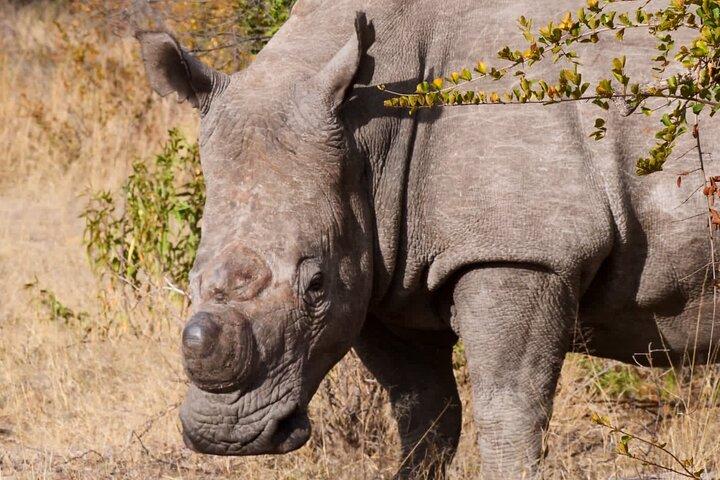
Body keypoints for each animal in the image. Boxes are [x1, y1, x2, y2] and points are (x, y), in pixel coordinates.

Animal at [135, 0, 720, 478]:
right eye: (190, 279)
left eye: (316, 284)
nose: (225, 435)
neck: (367, 134)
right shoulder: (379, 269)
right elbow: (425, 415)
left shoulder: (521, 252)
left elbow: (509, 411)